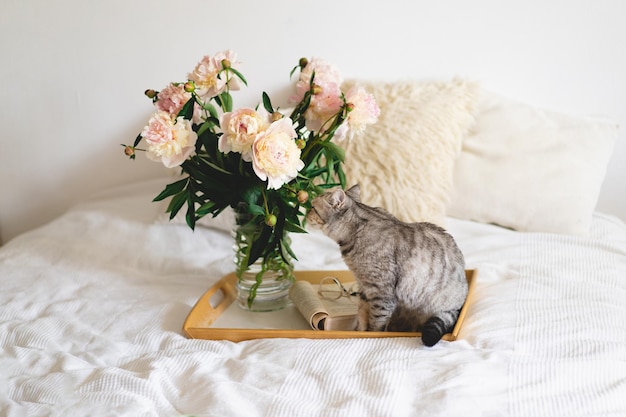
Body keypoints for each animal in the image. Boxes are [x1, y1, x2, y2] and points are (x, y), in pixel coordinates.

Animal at [304, 184, 466, 344]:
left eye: (312, 207)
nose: (305, 213)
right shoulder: (364, 286)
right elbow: (362, 313)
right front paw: (359, 330)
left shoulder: (381, 292)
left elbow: (377, 322)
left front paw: (371, 334)